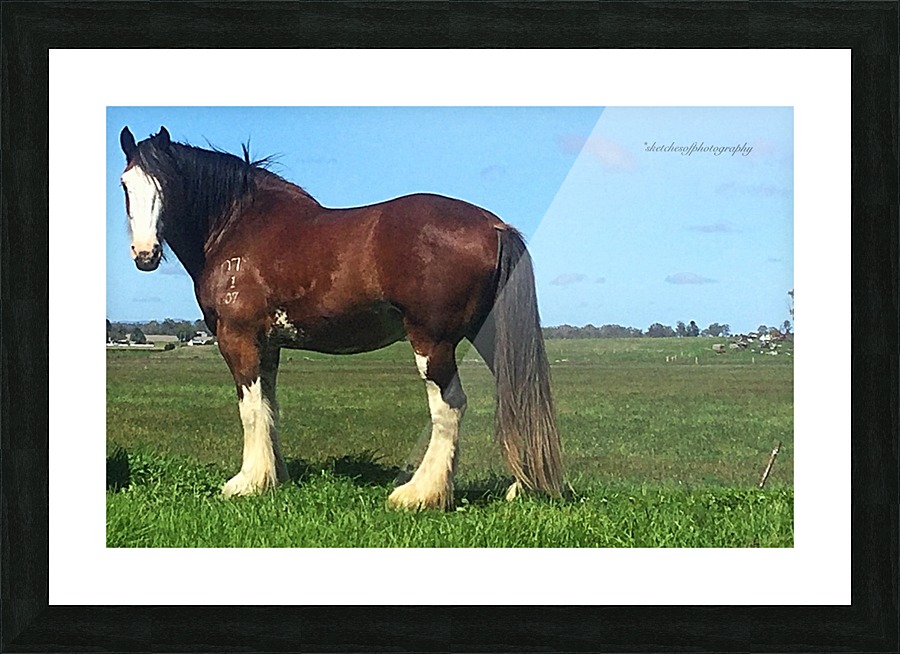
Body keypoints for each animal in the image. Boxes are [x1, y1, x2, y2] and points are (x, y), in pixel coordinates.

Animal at [117, 125, 563, 510]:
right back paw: (521, 487)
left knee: (450, 407)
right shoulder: (269, 346)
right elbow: (269, 408)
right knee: (515, 394)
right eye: (125, 184)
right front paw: (273, 477)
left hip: (432, 342)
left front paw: (246, 483)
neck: (237, 226)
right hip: (487, 336)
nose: (145, 254)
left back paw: (420, 494)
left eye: (166, 184)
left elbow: (250, 408)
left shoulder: (238, 338)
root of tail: (495, 226)